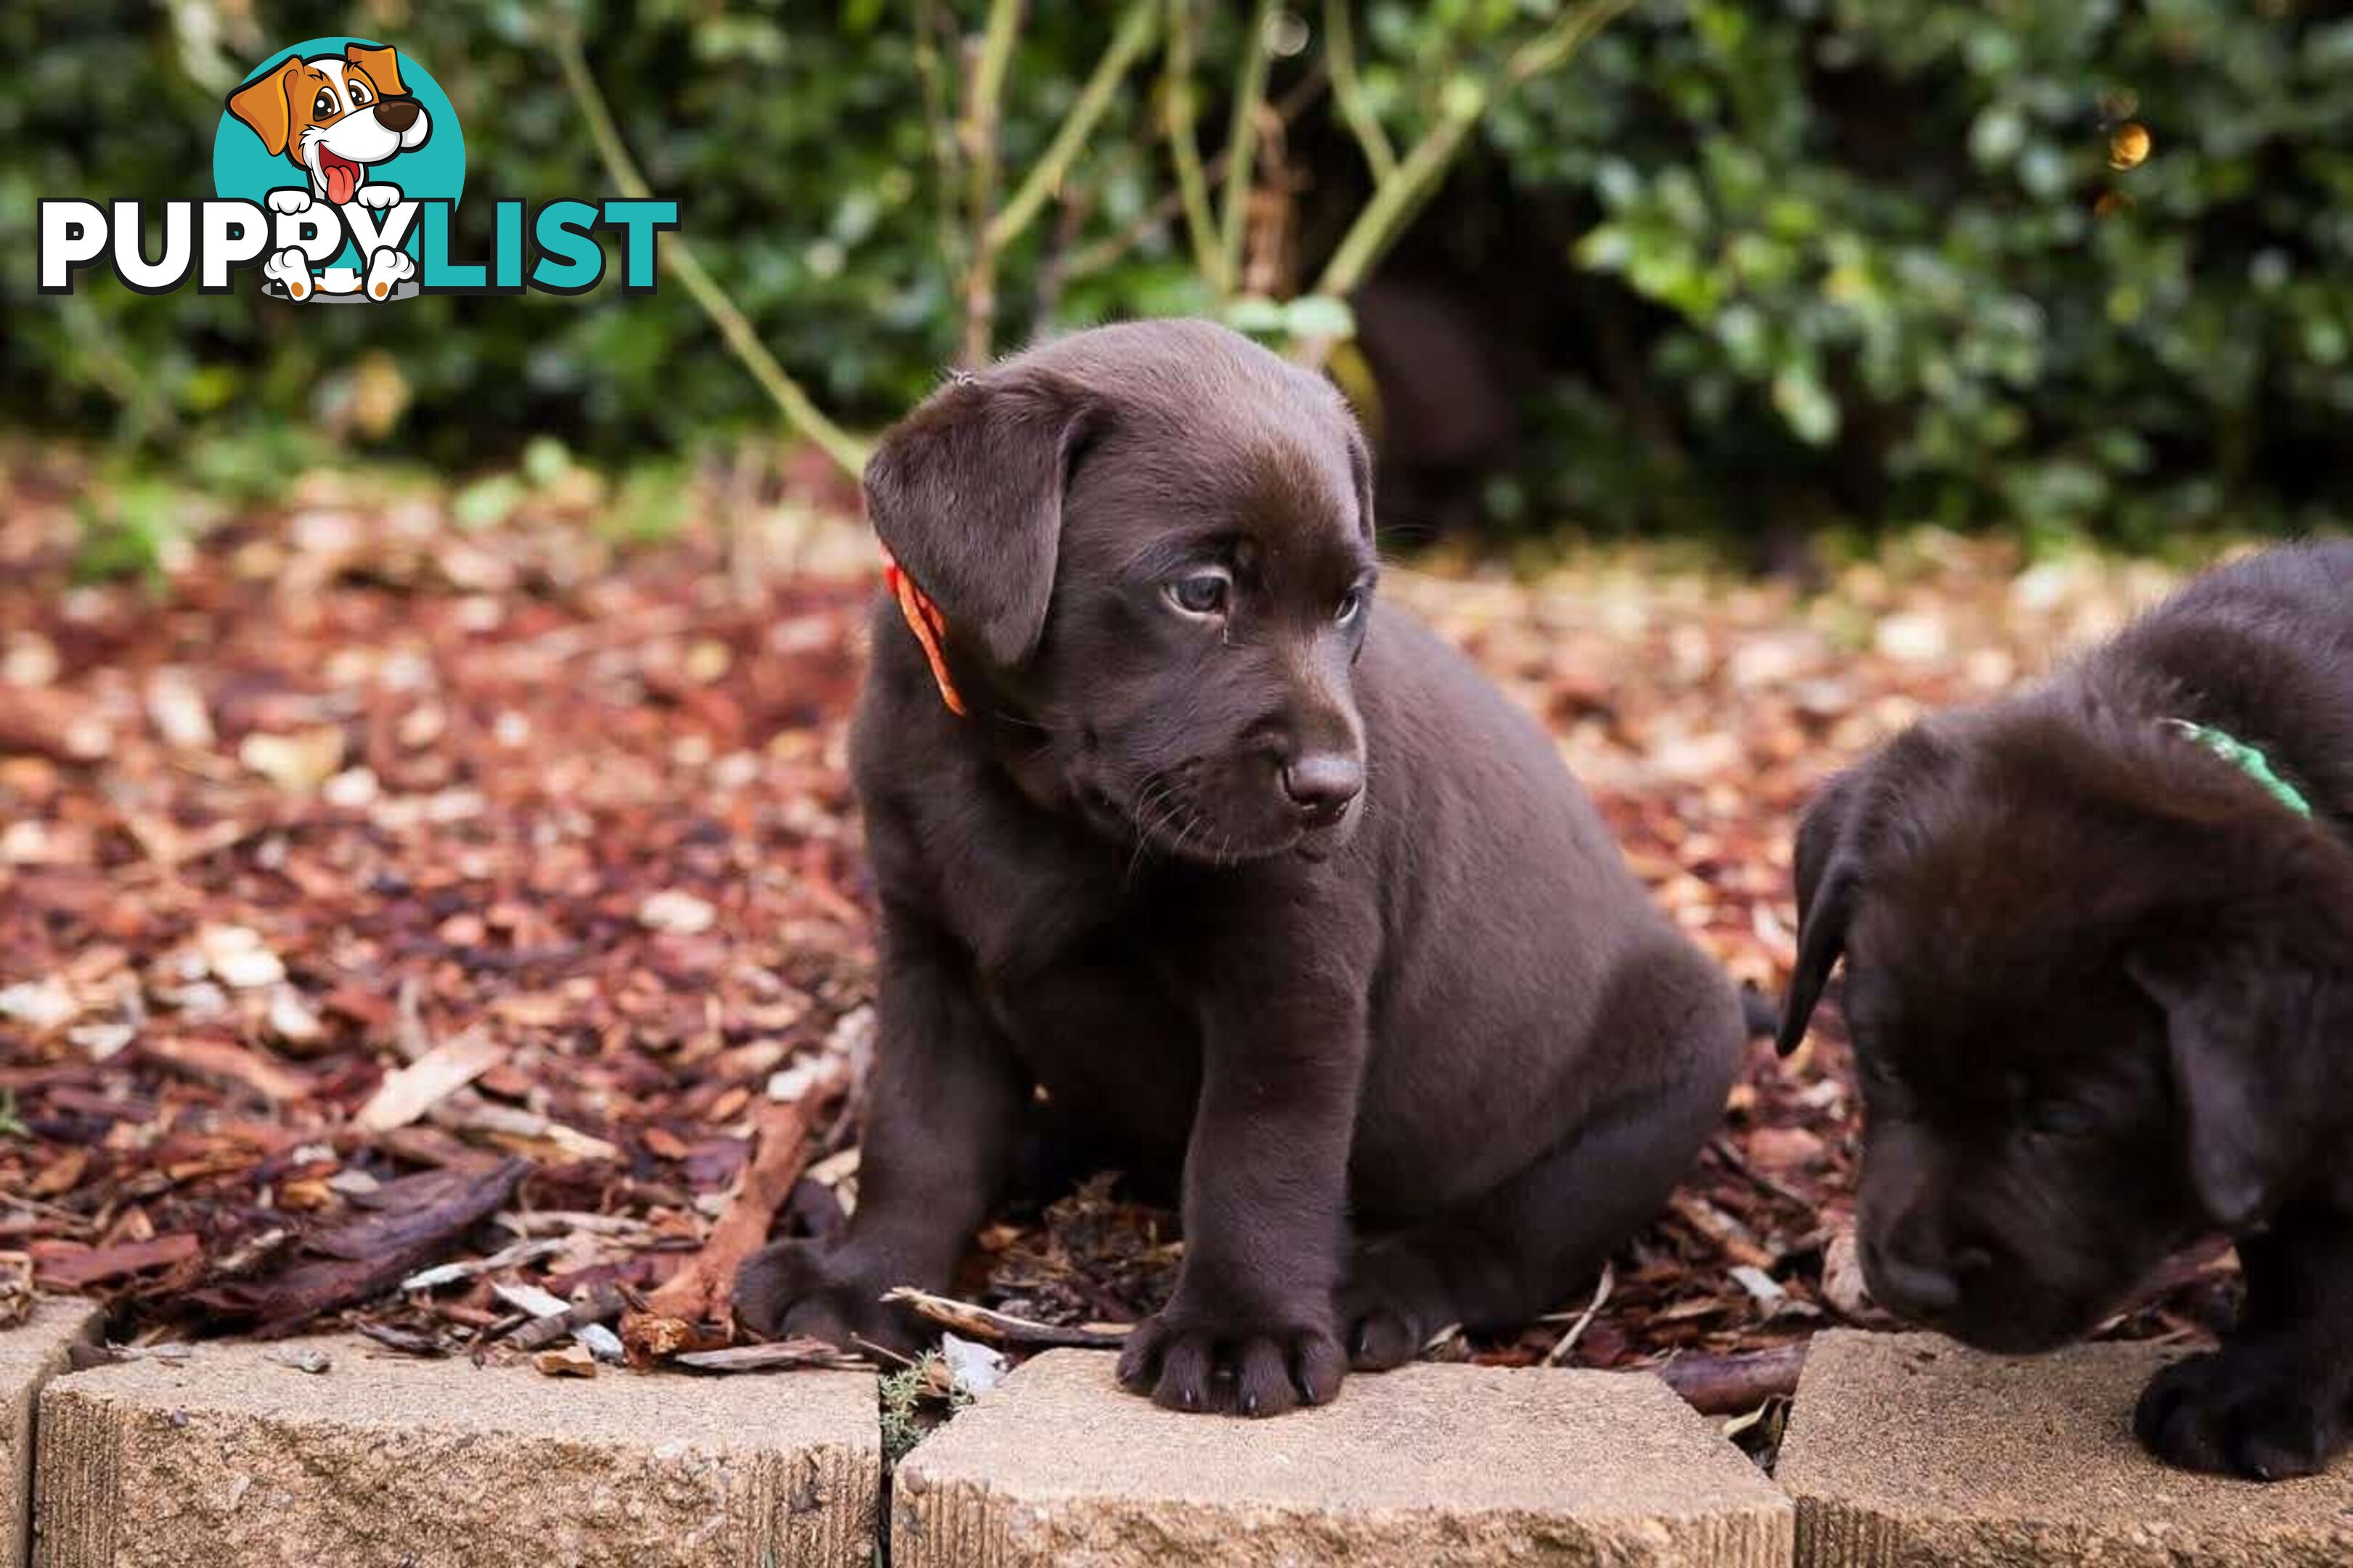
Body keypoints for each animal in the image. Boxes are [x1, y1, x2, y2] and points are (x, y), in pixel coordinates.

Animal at [738, 320, 1750, 1412]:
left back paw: (1378, 1282)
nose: (1335, 789)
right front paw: (863, 1280)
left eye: (1349, 602)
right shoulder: (932, 959)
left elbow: (1256, 1158)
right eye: (1200, 592)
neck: (1036, 795)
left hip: (1671, 1069)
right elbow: (916, 1134)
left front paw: (1238, 1329)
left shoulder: (1287, 989)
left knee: (1507, 1240)